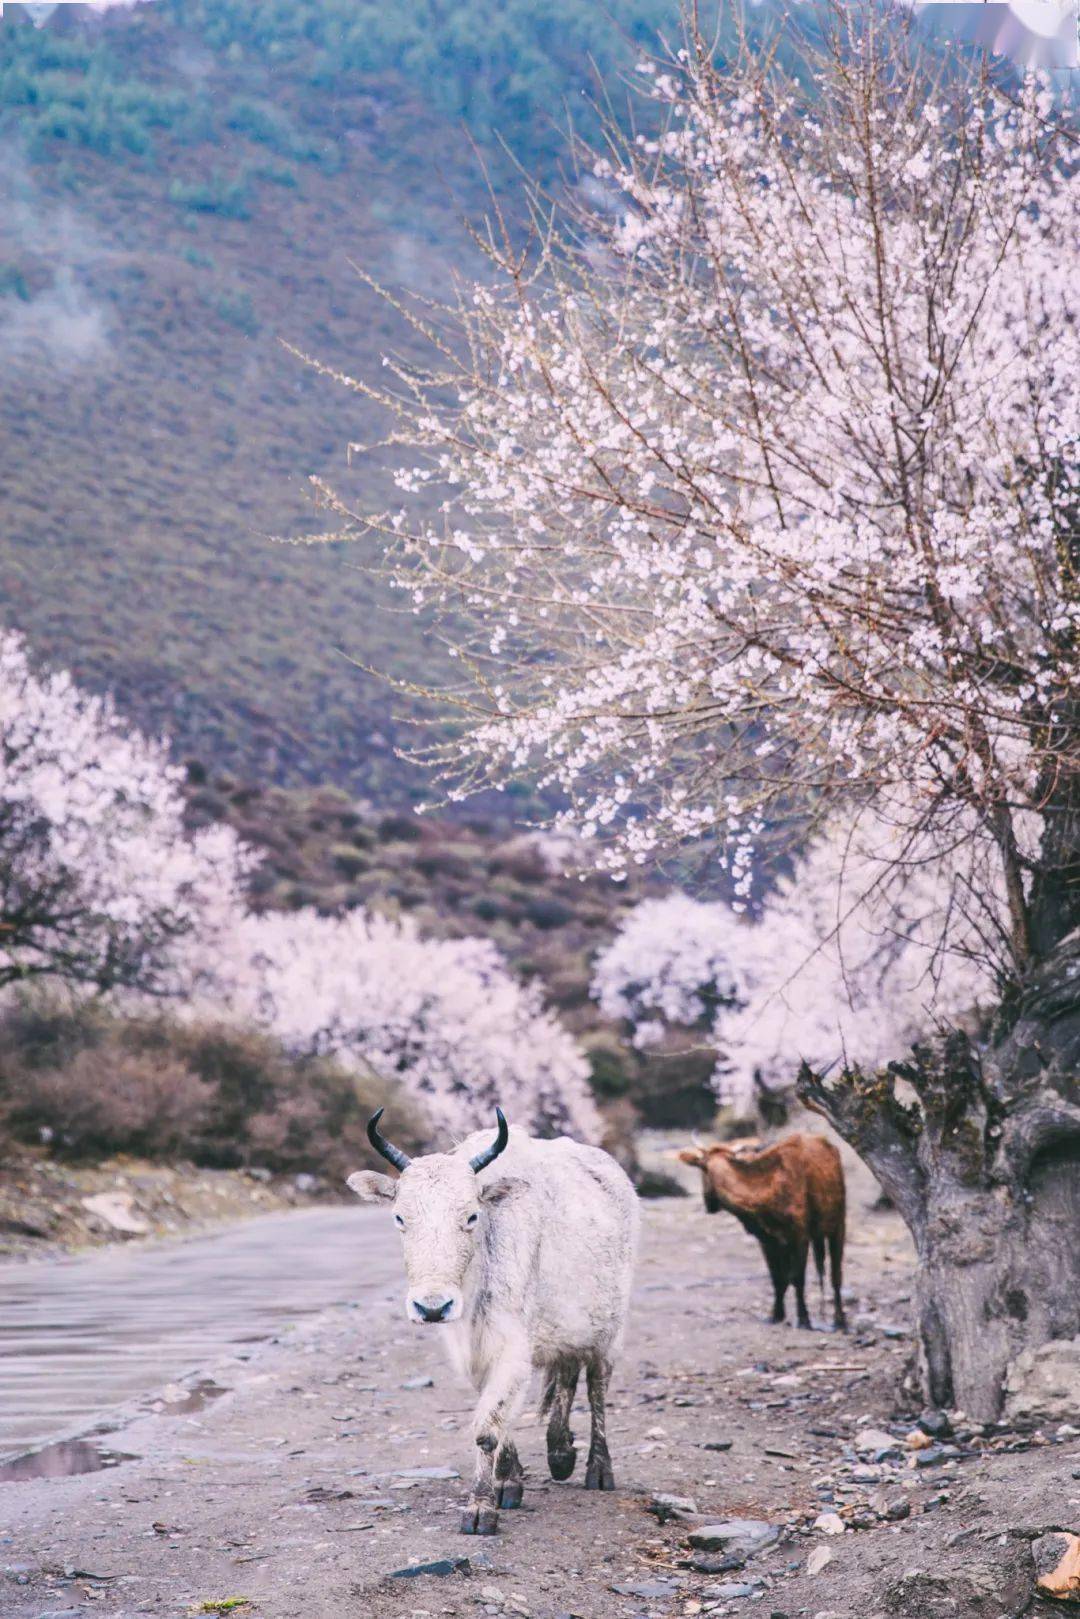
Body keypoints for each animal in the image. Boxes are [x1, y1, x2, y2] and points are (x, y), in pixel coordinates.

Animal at [680, 1133, 848, 1334]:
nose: (709, 1205)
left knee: (836, 1275)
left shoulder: (800, 1235)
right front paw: (775, 1315)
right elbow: (778, 1278)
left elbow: (797, 1278)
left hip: (838, 1223)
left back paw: (840, 1320)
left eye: (701, 1171)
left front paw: (803, 1319)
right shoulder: (768, 1240)